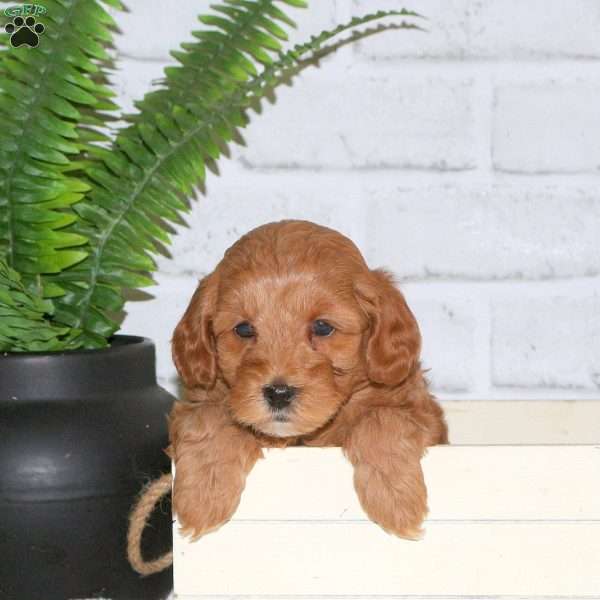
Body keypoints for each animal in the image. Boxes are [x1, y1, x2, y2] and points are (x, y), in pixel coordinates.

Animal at [166, 219, 448, 540]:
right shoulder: (190, 405)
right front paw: (203, 496)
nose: (278, 392)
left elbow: (382, 418)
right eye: (243, 329)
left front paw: (395, 499)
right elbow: (208, 418)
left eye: (322, 327)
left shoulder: (422, 413)